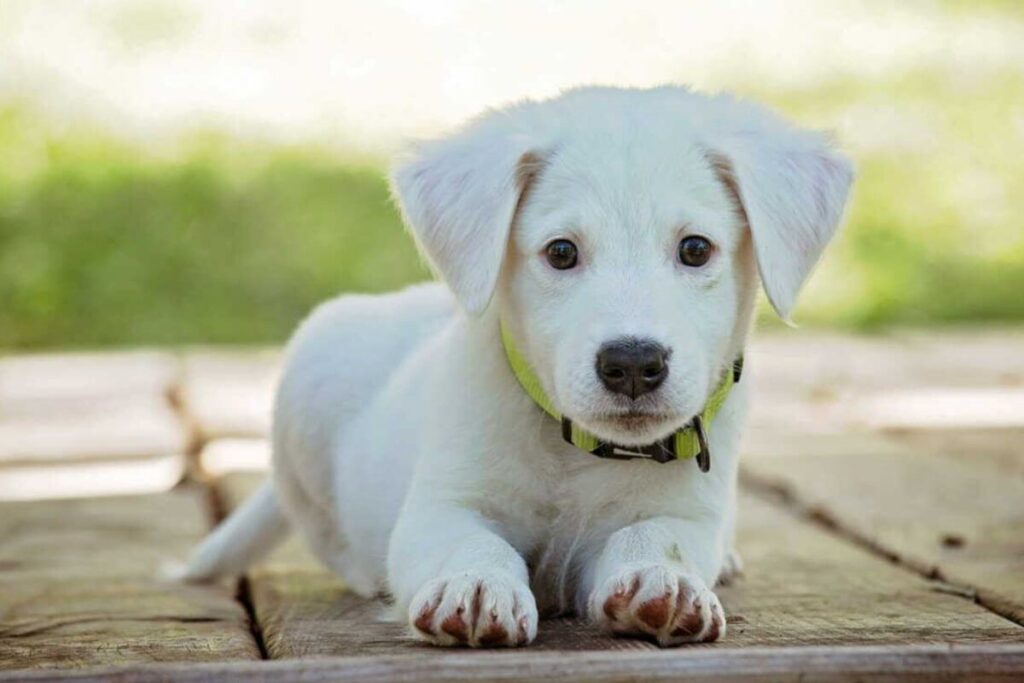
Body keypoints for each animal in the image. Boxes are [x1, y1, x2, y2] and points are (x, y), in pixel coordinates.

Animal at [186, 85, 856, 647]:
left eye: (695, 249)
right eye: (560, 252)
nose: (632, 363)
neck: (576, 451)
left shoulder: (687, 514)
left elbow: (656, 536)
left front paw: (660, 581)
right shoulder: (441, 507)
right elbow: (472, 542)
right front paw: (477, 585)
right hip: (310, 380)